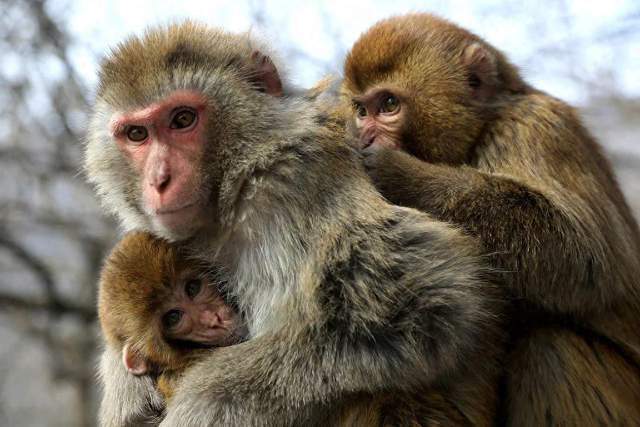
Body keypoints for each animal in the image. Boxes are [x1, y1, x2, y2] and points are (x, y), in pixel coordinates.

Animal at [342, 11, 640, 426]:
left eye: (387, 104)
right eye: (361, 111)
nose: (365, 137)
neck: (483, 126)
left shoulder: (537, 128)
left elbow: (583, 255)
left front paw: (400, 173)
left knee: (553, 352)